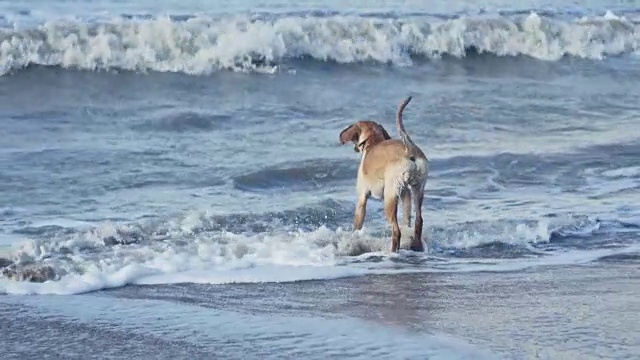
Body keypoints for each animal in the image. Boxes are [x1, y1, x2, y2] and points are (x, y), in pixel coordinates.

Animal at [338, 96, 428, 253]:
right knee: (418, 221)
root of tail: (409, 149)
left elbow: (357, 226)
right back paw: (416, 246)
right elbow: (407, 219)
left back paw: (392, 251)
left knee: (396, 230)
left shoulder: (362, 198)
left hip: (390, 197)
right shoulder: (405, 194)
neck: (373, 143)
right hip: (417, 190)